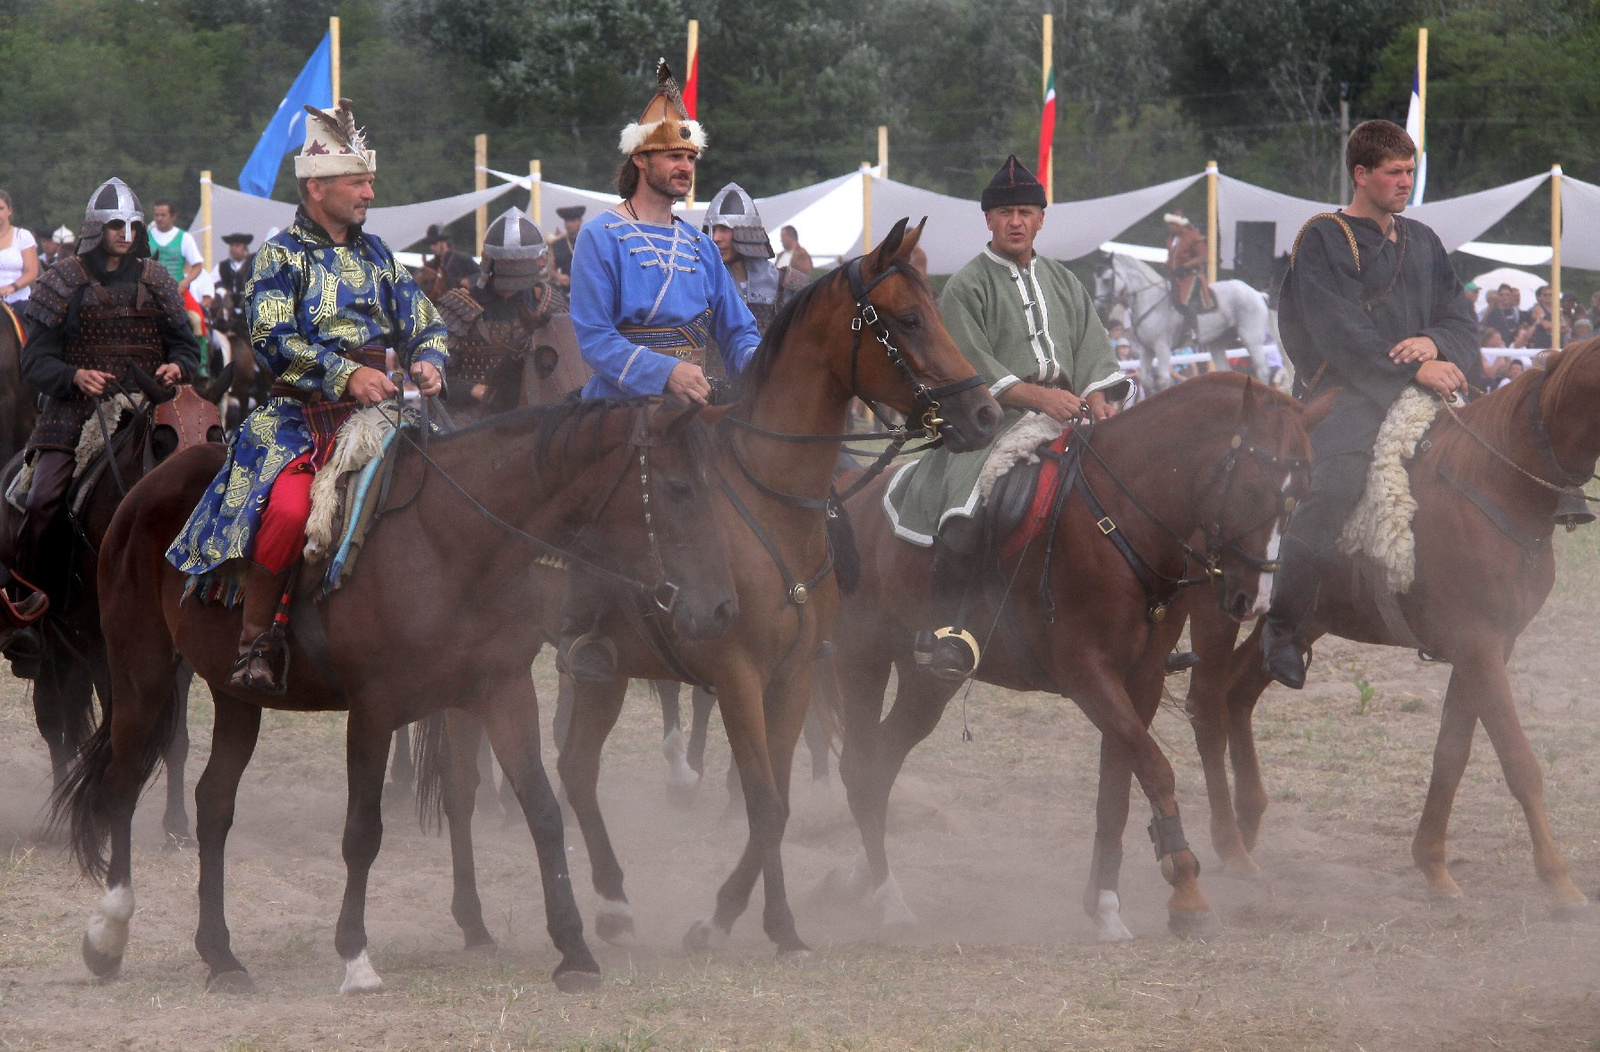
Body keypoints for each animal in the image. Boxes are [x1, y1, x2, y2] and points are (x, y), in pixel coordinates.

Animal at [0, 364, 228, 837]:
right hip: (52, 642)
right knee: (55, 720)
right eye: (162, 440)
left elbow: (176, 739)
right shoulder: (103, 647)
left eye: (216, 433)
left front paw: (176, 824)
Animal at [56, 394, 736, 991]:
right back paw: (107, 935)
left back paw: (221, 957)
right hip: (140, 670)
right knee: (121, 785)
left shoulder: (503, 691)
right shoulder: (374, 709)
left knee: (213, 805)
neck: (451, 541)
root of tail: (144, 490)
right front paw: (355, 957)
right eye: (678, 488)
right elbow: (363, 831)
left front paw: (573, 950)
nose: (721, 609)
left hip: (235, 696)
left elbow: (543, 811)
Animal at [819, 372, 1305, 940]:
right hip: (862, 660)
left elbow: (1116, 787)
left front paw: (1107, 904)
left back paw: (861, 877)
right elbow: (1154, 768)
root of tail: (847, 502)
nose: (1256, 600)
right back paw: (887, 897)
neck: (1120, 519)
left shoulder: (1139, 680)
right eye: (1251, 488)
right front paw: (1186, 891)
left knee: (882, 762)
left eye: (1299, 497)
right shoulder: (1086, 673)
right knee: (859, 768)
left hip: (927, 682)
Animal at [1088, 252, 1273, 391]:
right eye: (1095, 279)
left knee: (1263, 372)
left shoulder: (1162, 348)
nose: (1100, 306)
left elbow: (1163, 381)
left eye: (1106, 279)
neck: (1150, 299)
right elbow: (1147, 382)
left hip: (1251, 339)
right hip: (1217, 343)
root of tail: (1257, 294)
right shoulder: (1147, 350)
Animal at [1177, 340, 1600, 914]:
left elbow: (1451, 753)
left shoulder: (1487, 647)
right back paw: (1229, 844)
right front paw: (1559, 882)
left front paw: (1434, 866)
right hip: (1219, 609)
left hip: (1297, 621)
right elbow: (1518, 761)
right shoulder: (1479, 644)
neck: (1493, 479)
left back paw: (1248, 823)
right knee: (1206, 706)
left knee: (1236, 694)